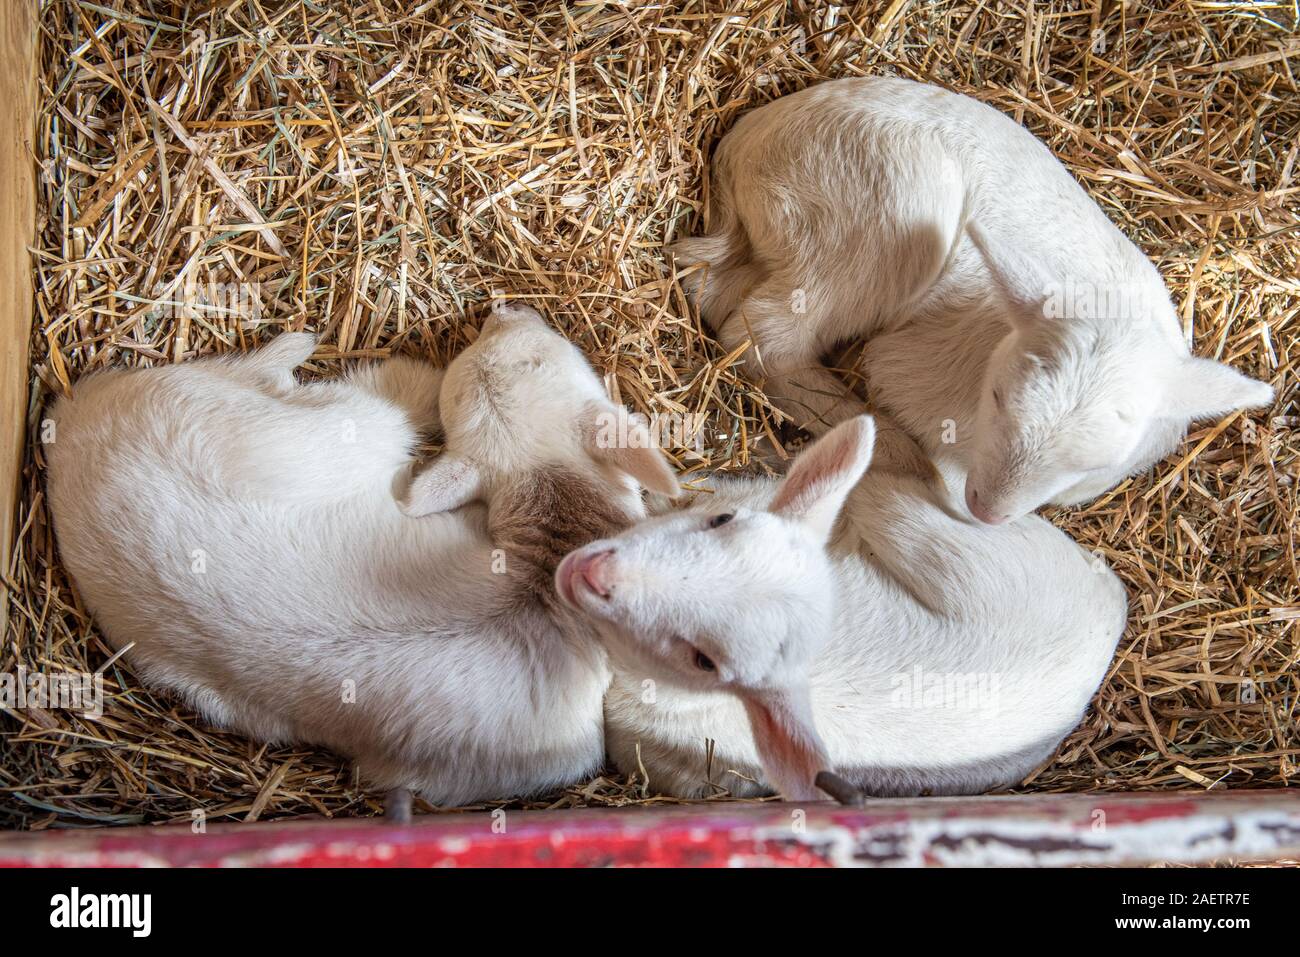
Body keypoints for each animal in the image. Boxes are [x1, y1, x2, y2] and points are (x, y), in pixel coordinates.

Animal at [48, 302, 681, 811]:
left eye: (533, 359)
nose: (506, 310)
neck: (547, 574)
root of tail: (72, 425)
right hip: (324, 429)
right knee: (354, 400)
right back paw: (393, 371)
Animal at [559, 416, 1128, 800]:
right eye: (721, 521)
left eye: (705, 660)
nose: (594, 574)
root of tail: (1115, 604)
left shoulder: (672, 759)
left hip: (918, 524)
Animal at [676, 74, 1274, 522]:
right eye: (998, 398)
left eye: (1092, 463)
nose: (987, 511)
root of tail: (744, 143)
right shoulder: (917, 371)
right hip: (883, 210)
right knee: (760, 336)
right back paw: (884, 442)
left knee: (708, 285)